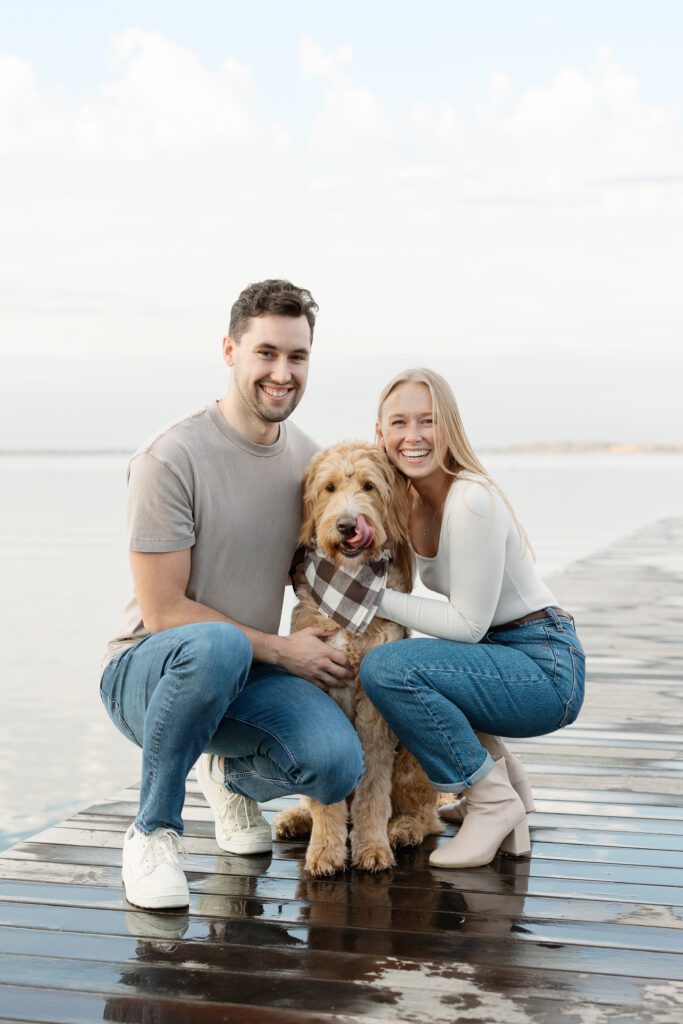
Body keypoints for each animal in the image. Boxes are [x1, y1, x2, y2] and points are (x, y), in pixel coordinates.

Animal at [272, 444, 444, 876]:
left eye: (369, 486)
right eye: (329, 487)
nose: (348, 525)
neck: (348, 586)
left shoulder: (373, 707)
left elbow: (373, 788)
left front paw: (372, 848)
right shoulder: (322, 683)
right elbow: (328, 795)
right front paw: (325, 851)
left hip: (413, 760)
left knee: (426, 814)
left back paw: (402, 829)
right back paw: (297, 818)